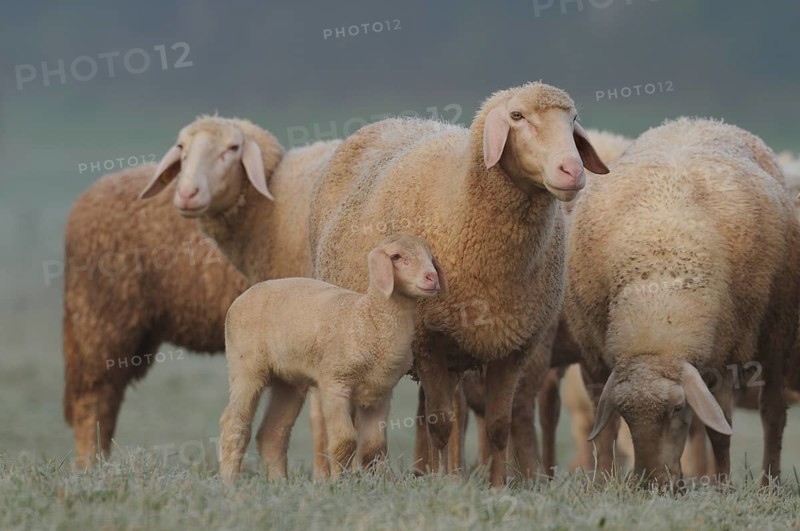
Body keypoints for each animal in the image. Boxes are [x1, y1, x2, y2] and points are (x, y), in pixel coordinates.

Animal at [218, 232, 445, 481]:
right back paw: (230, 482)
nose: (432, 277)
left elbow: (373, 447)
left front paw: (371, 483)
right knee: (234, 424)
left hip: (288, 381)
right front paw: (338, 482)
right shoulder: (335, 384)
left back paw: (279, 482)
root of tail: (244, 296)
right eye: (396, 256)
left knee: (272, 432)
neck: (367, 318)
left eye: (431, 257)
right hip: (246, 368)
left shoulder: (380, 393)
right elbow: (344, 441)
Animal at [308, 82, 610, 486]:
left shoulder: (513, 347)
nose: (573, 171)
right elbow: (441, 425)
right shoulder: (428, 341)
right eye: (517, 116)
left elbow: (498, 425)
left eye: (573, 118)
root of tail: (390, 120)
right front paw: (442, 485)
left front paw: (496, 485)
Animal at [565, 117, 800, 488]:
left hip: (776, 334)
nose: (652, 483)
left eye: (677, 409)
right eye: (627, 413)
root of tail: (696, 121)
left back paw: (768, 483)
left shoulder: (726, 356)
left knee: (772, 414)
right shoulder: (593, 358)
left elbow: (721, 431)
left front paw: (722, 487)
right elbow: (604, 430)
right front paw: (602, 482)